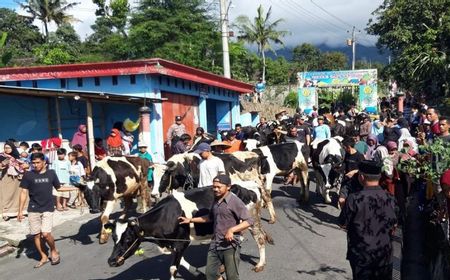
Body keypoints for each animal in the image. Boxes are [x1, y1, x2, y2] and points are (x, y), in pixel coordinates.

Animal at [107, 185, 272, 278]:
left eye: (128, 239)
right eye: (113, 238)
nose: (111, 261)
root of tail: (251, 187)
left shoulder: (182, 241)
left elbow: (173, 269)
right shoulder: (173, 243)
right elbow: (182, 263)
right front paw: (198, 272)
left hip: (252, 220)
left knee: (260, 238)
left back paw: (260, 264)